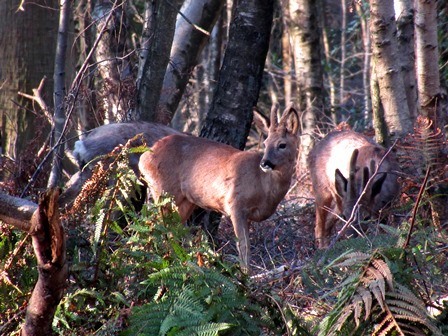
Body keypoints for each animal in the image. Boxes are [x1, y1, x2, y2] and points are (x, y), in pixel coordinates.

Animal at [138, 103, 300, 272]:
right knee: (156, 225)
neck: (264, 187)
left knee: (172, 228)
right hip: (162, 190)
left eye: (282, 145)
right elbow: (243, 246)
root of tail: (144, 157)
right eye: (265, 143)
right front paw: (245, 275)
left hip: (185, 201)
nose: (265, 163)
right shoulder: (236, 204)